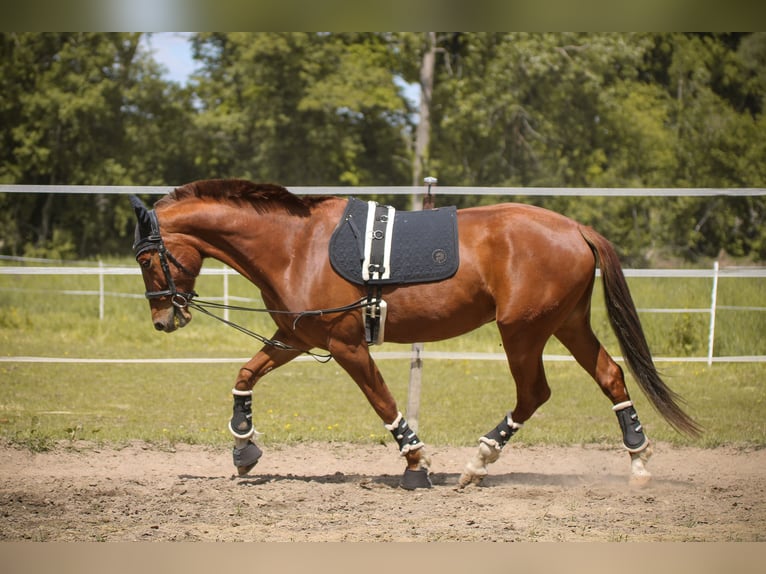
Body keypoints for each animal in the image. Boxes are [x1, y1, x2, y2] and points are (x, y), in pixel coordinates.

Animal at [129, 179, 700, 489]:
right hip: (567, 324)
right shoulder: (298, 338)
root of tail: (575, 228)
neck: (296, 245)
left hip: (523, 330)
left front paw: (417, 463)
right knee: (610, 376)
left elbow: (383, 403)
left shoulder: (345, 346)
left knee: (534, 392)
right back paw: (638, 462)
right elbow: (245, 375)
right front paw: (243, 447)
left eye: (146, 260)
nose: (162, 320)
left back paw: (479, 462)